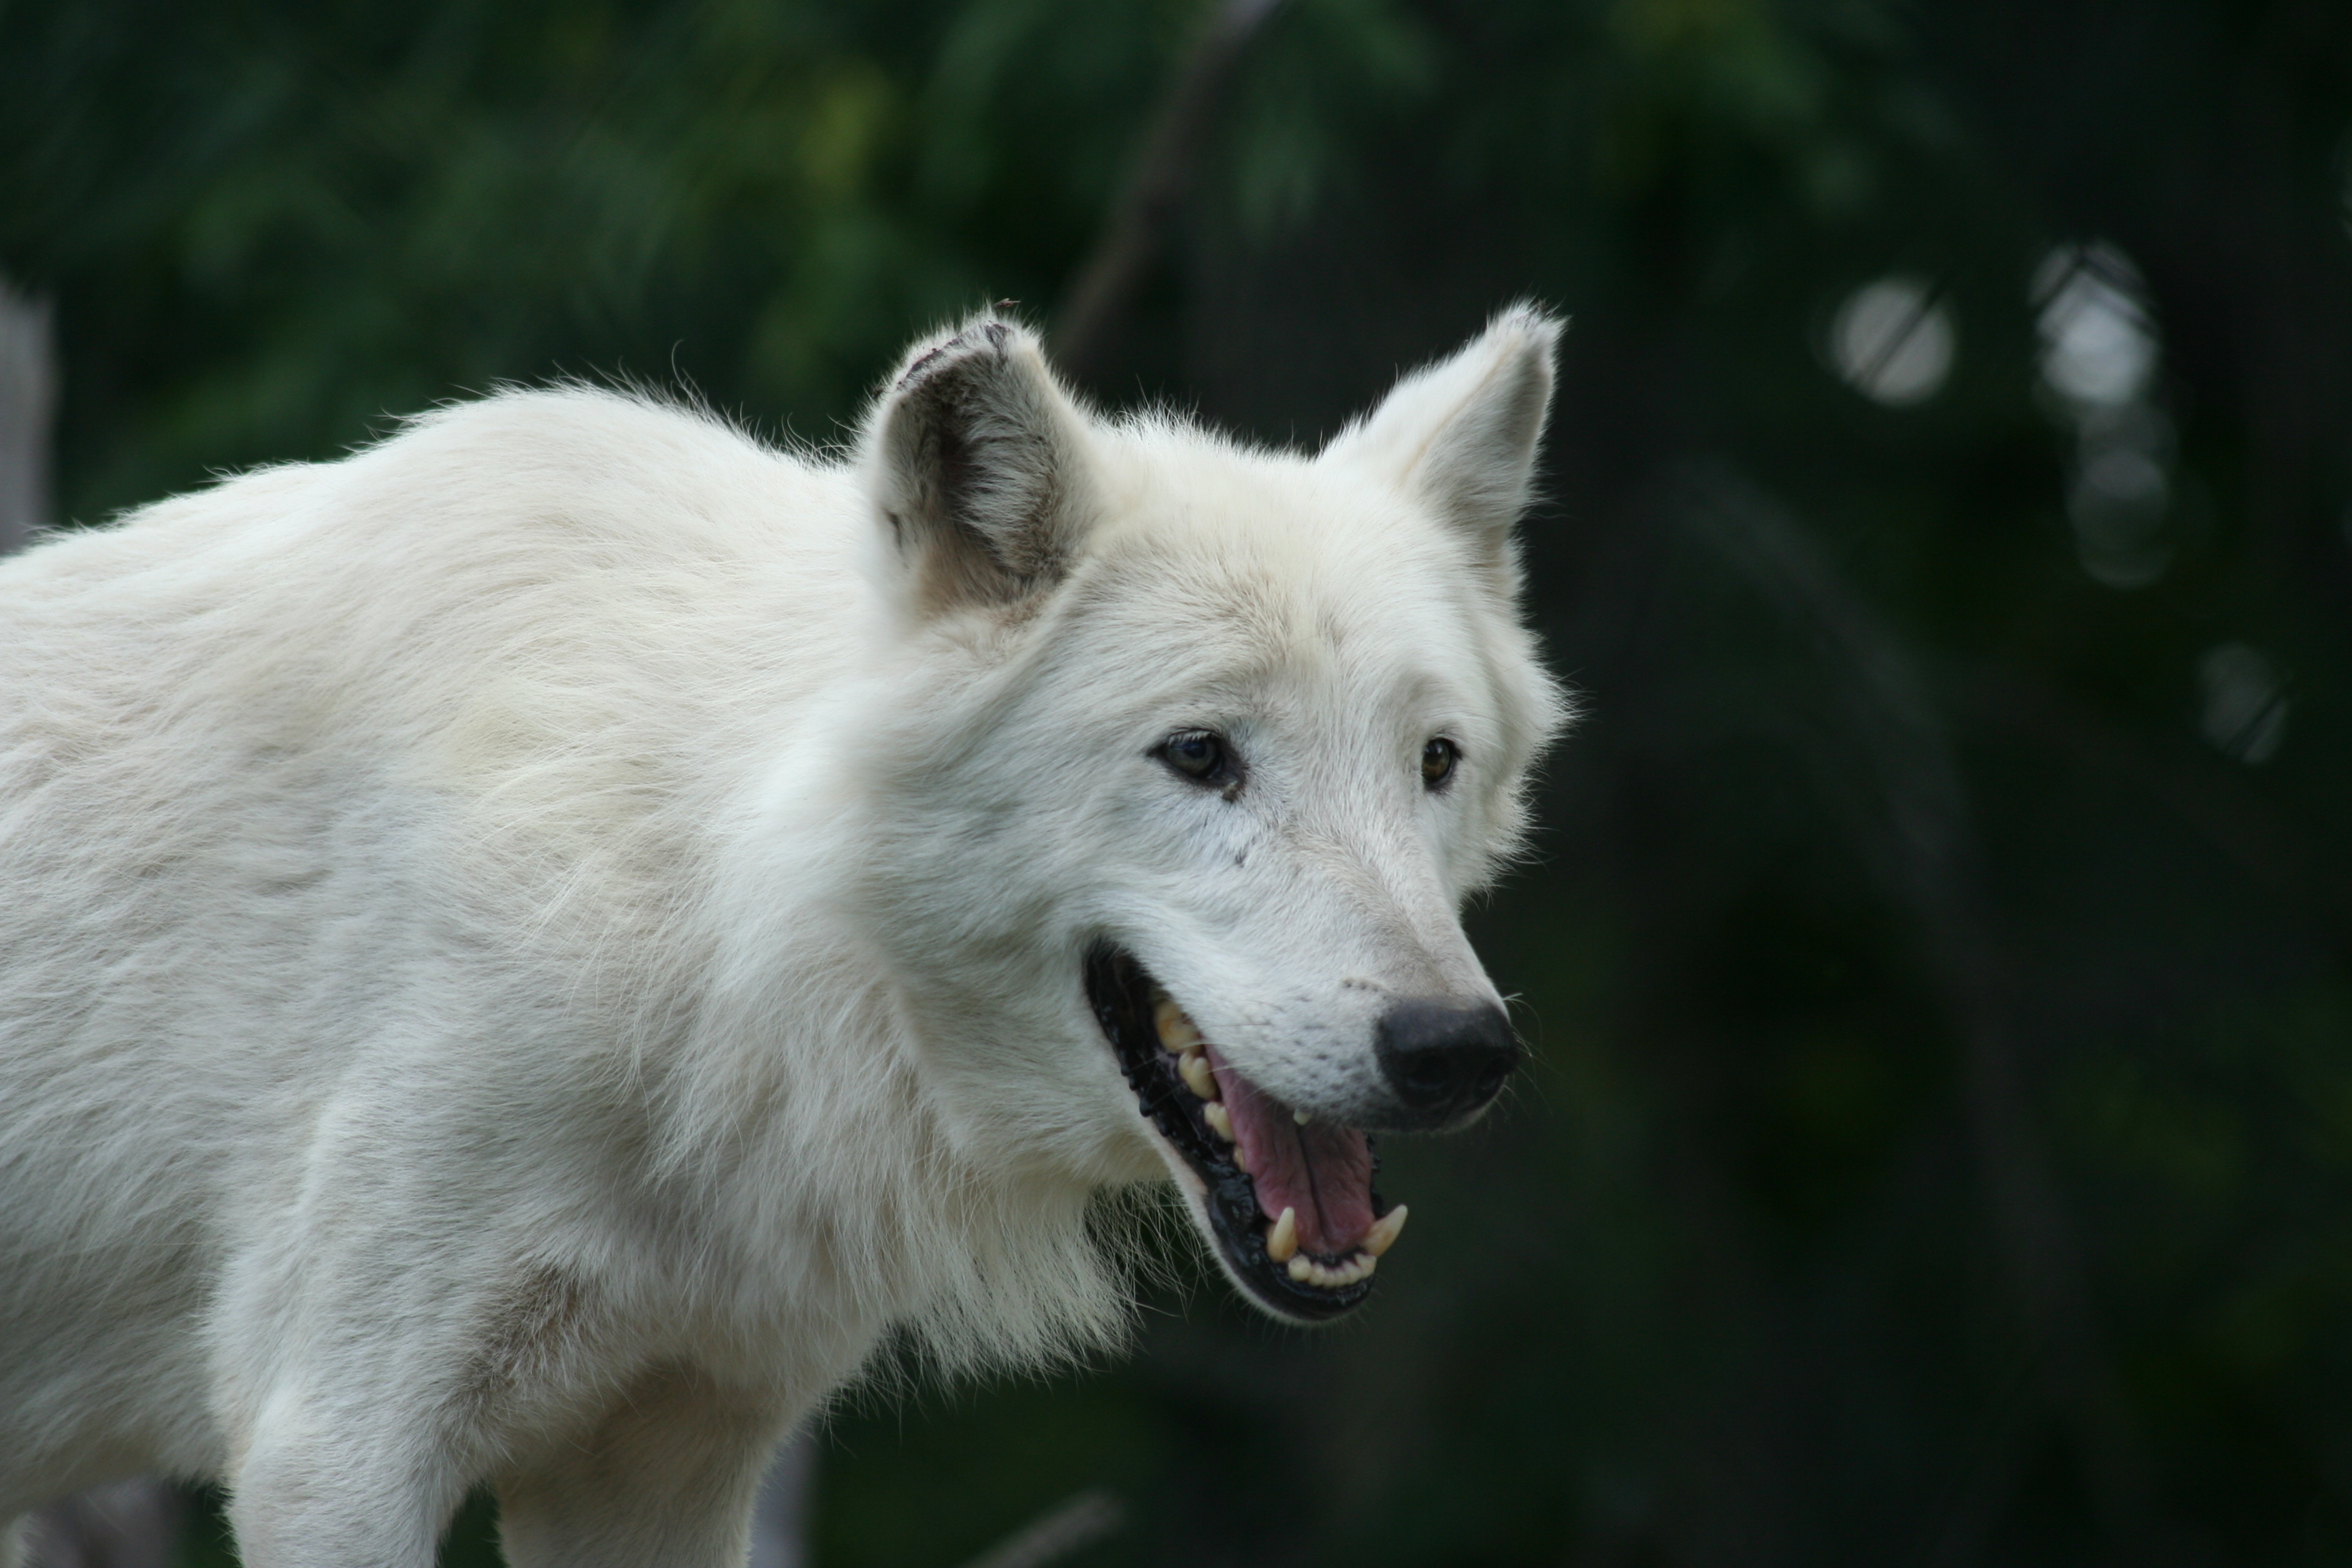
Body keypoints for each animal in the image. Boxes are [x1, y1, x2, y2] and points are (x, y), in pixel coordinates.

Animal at [9, 310, 1571, 1568]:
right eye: (1200, 754)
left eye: (1434, 761)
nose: (1455, 1049)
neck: (694, 913)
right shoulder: (335, 1449)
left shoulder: (659, 1465)